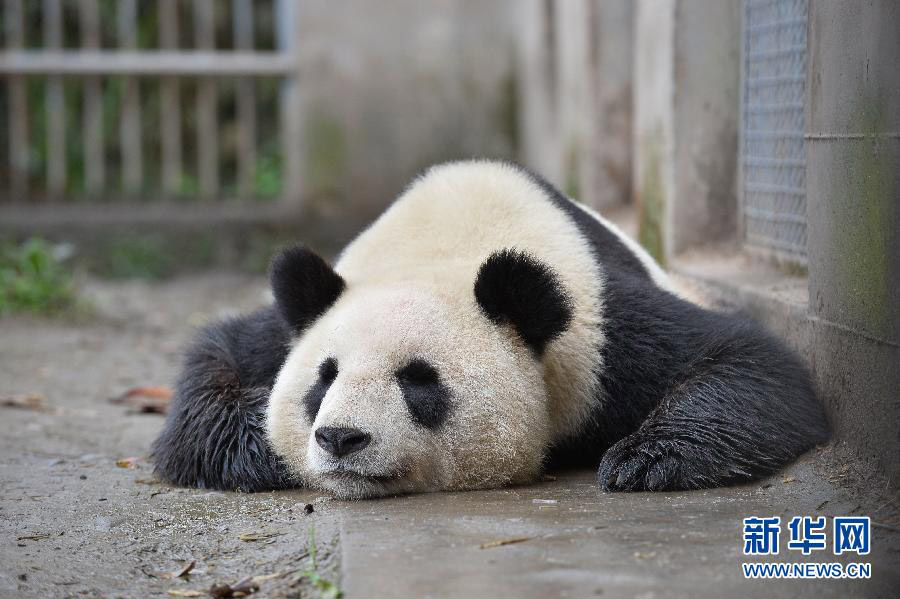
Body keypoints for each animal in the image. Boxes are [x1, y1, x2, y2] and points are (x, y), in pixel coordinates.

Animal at [149, 158, 828, 496]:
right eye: (324, 378)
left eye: (419, 381)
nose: (340, 438)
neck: (446, 246)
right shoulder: (316, 303)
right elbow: (218, 356)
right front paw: (255, 450)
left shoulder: (599, 330)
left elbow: (751, 361)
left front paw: (644, 459)